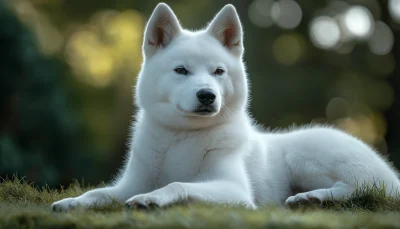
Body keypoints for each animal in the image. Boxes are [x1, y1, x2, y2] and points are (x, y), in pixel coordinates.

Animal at [51, 3, 398, 211]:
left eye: (218, 71)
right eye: (181, 70)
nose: (207, 95)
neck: (182, 137)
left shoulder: (234, 191)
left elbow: (178, 184)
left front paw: (152, 198)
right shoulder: (128, 184)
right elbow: (98, 193)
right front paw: (71, 202)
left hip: (308, 156)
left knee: (362, 191)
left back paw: (312, 198)